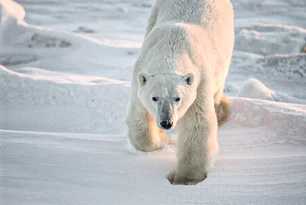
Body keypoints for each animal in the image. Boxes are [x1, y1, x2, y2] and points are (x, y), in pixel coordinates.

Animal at [125, 0, 233, 185]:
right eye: (154, 98)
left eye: (177, 98)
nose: (166, 123)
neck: (172, 46)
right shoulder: (139, 72)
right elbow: (139, 117)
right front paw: (162, 139)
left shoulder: (199, 80)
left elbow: (197, 123)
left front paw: (184, 178)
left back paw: (221, 109)